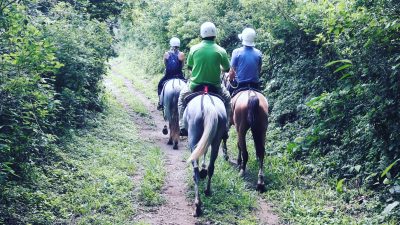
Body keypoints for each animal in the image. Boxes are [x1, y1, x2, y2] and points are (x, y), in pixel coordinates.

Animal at [183, 87, 227, 216]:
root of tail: (208, 105)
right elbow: (204, 151)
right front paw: (204, 169)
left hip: (193, 138)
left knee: (195, 170)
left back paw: (197, 205)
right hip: (217, 139)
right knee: (212, 166)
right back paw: (207, 191)